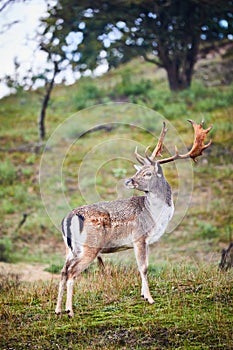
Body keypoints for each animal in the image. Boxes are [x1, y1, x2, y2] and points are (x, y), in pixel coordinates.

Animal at [55, 118, 212, 318]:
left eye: (147, 173)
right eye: (139, 172)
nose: (128, 180)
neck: (154, 215)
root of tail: (68, 218)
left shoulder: (145, 241)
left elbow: (143, 266)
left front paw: (144, 295)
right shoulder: (139, 237)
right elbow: (143, 267)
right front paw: (150, 298)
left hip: (71, 248)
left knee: (63, 271)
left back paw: (57, 309)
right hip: (90, 246)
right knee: (72, 272)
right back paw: (70, 310)